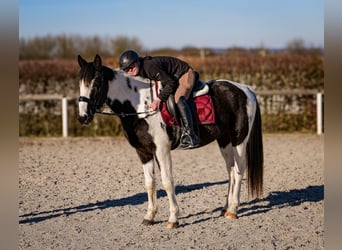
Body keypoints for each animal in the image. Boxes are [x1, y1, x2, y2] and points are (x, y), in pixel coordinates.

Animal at [77, 54, 264, 229]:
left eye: (96, 82)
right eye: (80, 83)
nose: (82, 117)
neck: (139, 105)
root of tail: (246, 89)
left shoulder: (161, 149)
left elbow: (167, 182)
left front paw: (173, 218)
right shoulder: (143, 152)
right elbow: (150, 183)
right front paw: (149, 216)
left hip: (239, 140)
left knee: (239, 170)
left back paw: (233, 210)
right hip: (224, 140)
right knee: (230, 171)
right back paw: (225, 208)